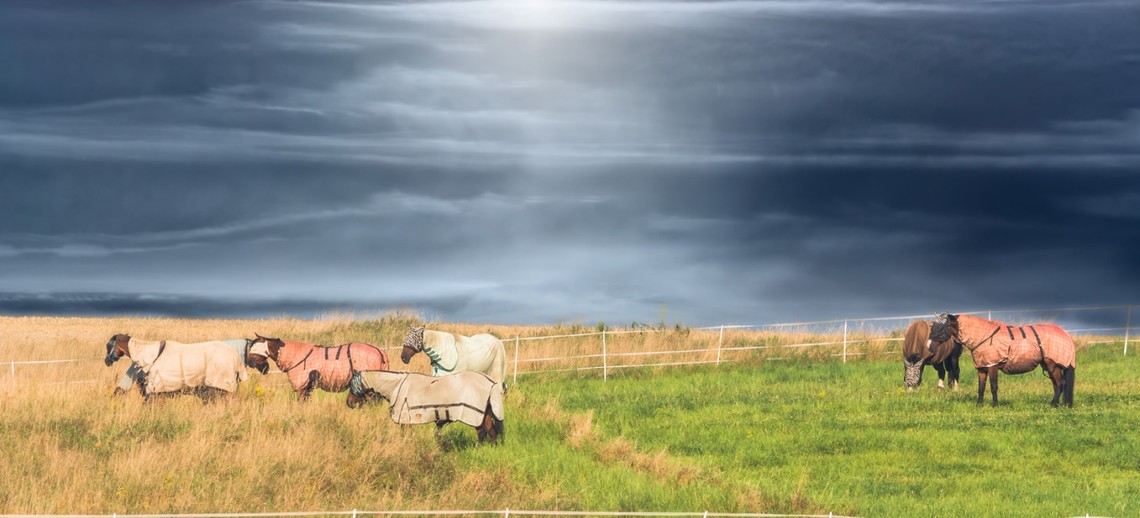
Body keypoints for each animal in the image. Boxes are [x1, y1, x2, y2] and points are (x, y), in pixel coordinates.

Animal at [245, 333, 392, 401]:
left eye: (254, 348)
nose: (249, 362)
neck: (294, 355)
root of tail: (380, 352)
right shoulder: (307, 389)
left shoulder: (301, 388)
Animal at [346, 367, 503, 444]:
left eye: (352, 383)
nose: (348, 403)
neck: (396, 386)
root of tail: (491, 382)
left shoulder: (405, 420)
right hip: (485, 415)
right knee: (490, 432)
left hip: (476, 416)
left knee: (483, 432)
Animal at [925, 312, 1076, 408]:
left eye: (942, 327)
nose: (929, 347)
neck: (984, 336)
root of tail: (1066, 334)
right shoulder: (982, 368)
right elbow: (981, 387)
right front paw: (979, 405)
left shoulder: (993, 366)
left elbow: (993, 386)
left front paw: (995, 405)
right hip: (1049, 365)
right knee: (1057, 384)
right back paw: (1059, 404)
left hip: (1052, 364)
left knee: (1061, 383)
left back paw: (1053, 404)